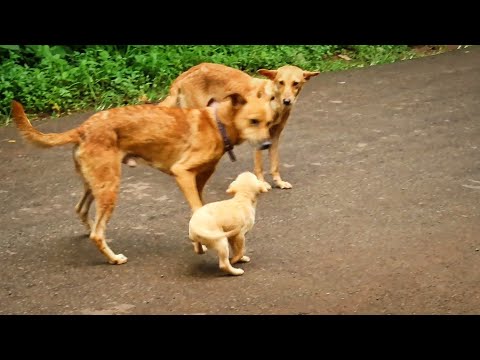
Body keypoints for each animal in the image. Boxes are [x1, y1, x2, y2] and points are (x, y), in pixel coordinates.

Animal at [12, 94, 274, 266]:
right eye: (253, 121)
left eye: (269, 122)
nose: (267, 145)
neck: (216, 123)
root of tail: (84, 127)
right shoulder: (182, 173)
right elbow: (196, 209)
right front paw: (200, 246)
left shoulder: (198, 180)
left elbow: (200, 209)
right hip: (110, 188)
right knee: (98, 233)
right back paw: (113, 258)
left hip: (94, 184)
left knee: (81, 211)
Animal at [156, 63, 318, 190]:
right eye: (281, 82)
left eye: (296, 83)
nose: (287, 101)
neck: (273, 102)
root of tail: (187, 72)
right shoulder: (258, 139)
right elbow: (259, 166)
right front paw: (261, 183)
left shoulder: (274, 137)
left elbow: (274, 164)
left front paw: (279, 182)